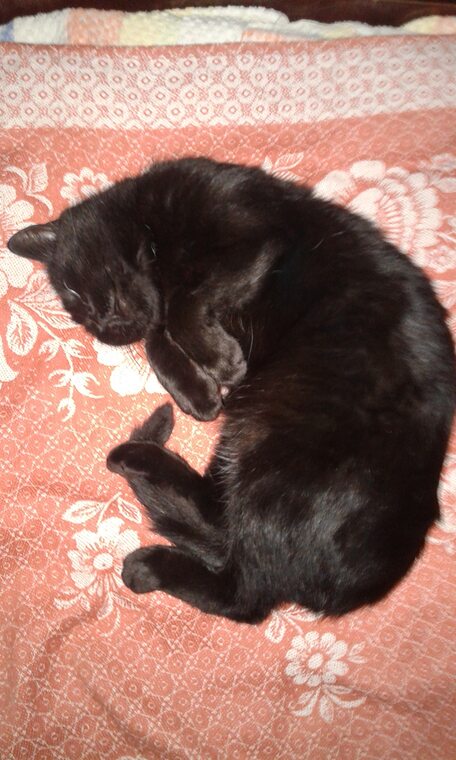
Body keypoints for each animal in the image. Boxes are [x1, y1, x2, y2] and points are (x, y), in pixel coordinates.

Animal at [8, 157, 455, 623]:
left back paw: (141, 514)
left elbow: (183, 303)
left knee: (243, 585)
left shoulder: (256, 238)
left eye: (74, 294)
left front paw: (220, 360)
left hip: (269, 437)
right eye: (78, 311)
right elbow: (158, 333)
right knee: (230, 556)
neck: (152, 237)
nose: (101, 327)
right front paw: (199, 393)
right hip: (252, 437)